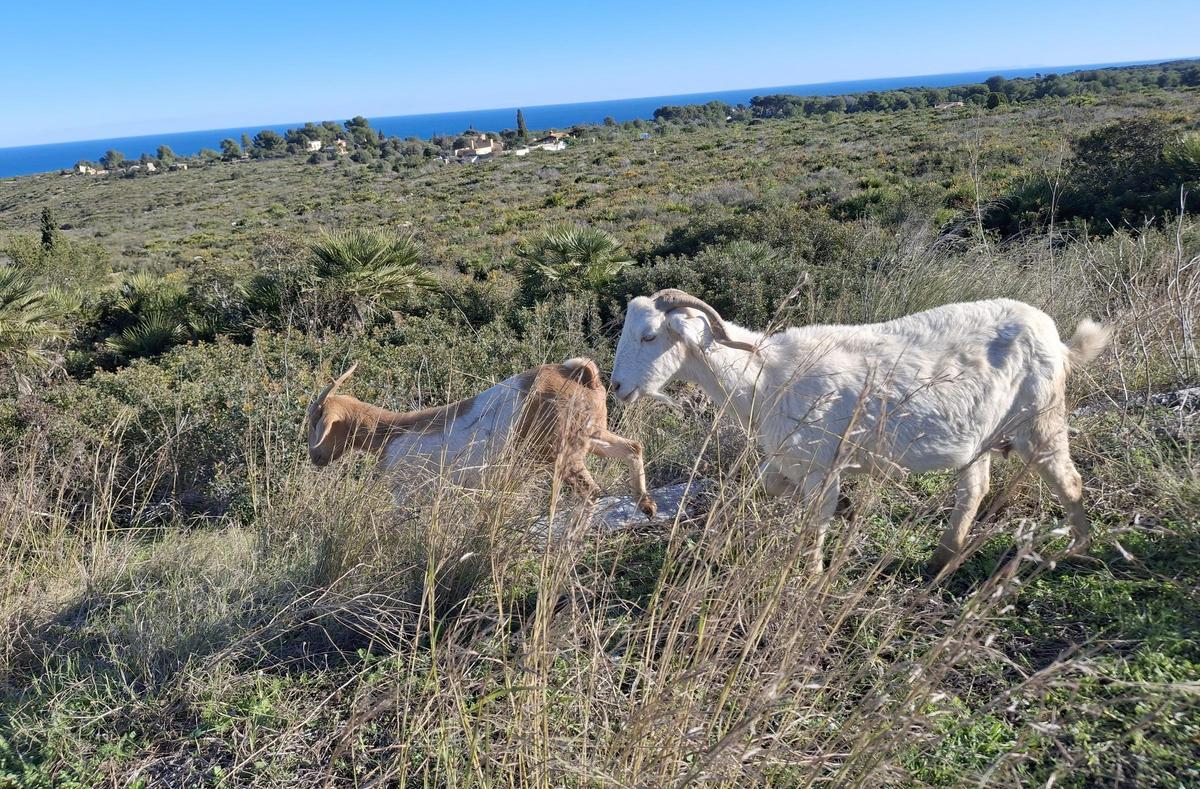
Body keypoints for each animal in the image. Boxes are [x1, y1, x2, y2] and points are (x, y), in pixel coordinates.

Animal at [306, 358, 657, 518]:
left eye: (315, 422)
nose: (315, 457)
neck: (390, 431)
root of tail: (580, 373)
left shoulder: (405, 490)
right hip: (591, 436)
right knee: (633, 448)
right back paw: (646, 504)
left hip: (562, 453)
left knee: (591, 492)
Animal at [610, 289, 1109, 575]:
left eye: (650, 336)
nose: (616, 387)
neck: (767, 374)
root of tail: (1057, 338)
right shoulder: (790, 458)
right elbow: (765, 488)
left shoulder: (821, 464)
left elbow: (815, 522)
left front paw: (810, 577)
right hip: (980, 435)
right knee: (975, 489)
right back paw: (943, 558)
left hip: (1039, 417)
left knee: (1068, 479)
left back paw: (1079, 549)